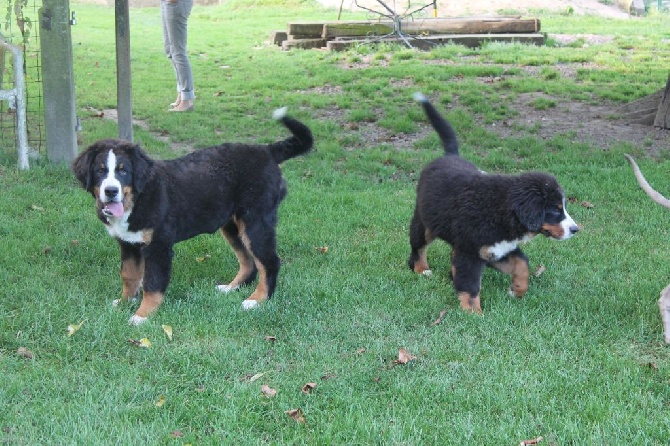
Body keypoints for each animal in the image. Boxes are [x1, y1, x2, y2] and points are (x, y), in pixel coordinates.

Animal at [72, 108, 314, 324]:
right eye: (100, 170)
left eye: (123, 170)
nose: (111, 191)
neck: (138, 198)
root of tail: (267, 150)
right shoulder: (128, 243)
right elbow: (129, 275)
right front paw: (124, 303)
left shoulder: (159, 246)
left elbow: (152, 283)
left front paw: (142, 315)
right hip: (232, 225)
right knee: (249, 262)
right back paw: (231, 288)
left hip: (256, 222)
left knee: (269, 262)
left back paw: (257, 300)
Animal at [406, 92, 580, 312]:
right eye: (555, 210)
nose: (575, 229)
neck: (501, 211)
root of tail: (449, 156)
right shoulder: (471, 251)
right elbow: (471, 284)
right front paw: (473, 313)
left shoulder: (496, 250)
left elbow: (522, 263)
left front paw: (517, 290)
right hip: (424, 223)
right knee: (418, 247)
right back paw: (421, 269)